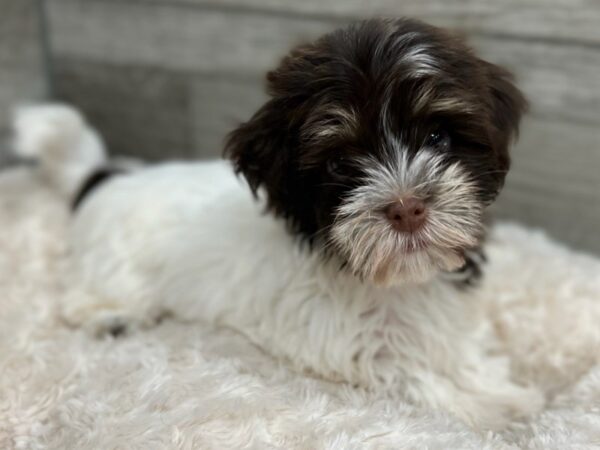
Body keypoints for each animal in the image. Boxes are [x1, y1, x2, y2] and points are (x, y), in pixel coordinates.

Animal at [17, 18, 544, 428]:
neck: (392, 280)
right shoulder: (338, 342)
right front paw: (483, 410)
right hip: (115, 266)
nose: (407, 207)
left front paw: (503, 390)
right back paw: (111, 317)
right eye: (340, 163)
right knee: (81, 297)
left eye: (438, 137)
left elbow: (460, 351)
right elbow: (408, 372)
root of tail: (103, 177)